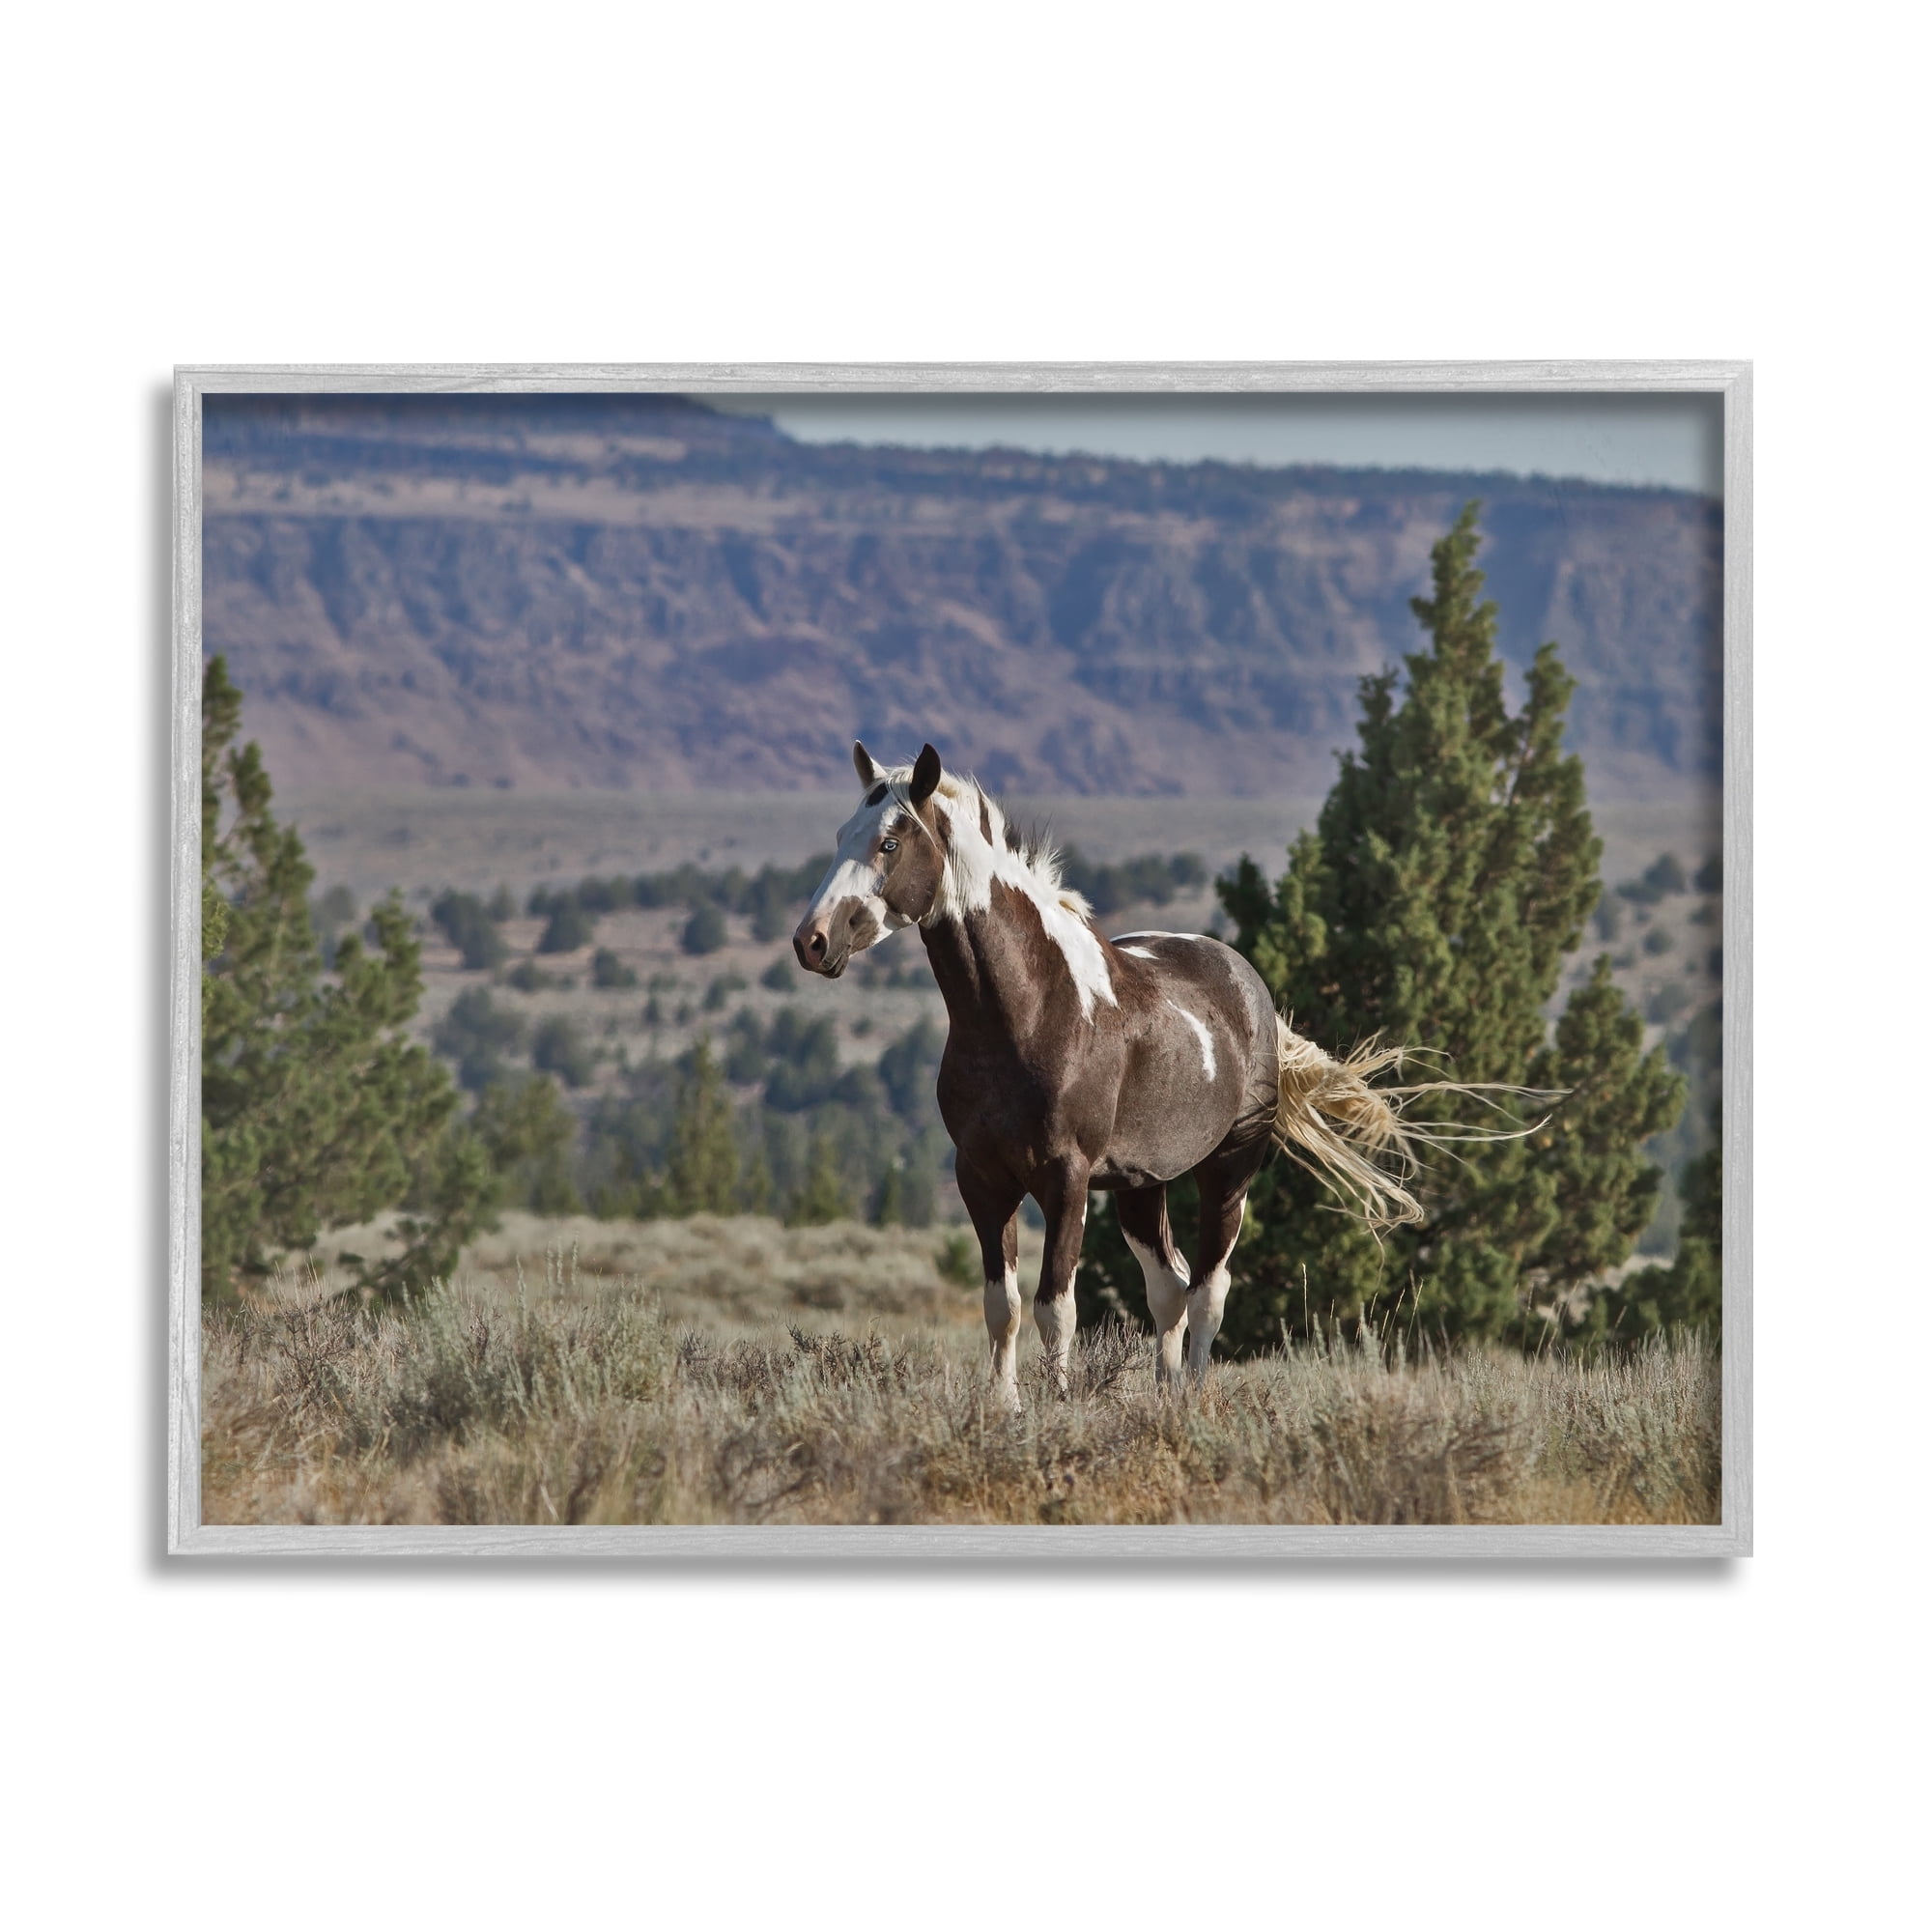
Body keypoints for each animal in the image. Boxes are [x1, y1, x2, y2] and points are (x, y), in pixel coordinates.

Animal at [792, 740, 1452, 1410]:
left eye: (890, 842)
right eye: (843, 834)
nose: (811, 942)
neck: (1030, 1010)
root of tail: (1253, 991)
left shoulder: (1066, 1178)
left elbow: (1055, 1307)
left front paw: (1057, 1404)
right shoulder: (982, 1178)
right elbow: (1002, 1306)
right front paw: (1006, 1406)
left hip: (1229, 1172)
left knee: (1208, 1290)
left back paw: (1191, 1396)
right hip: (1142, 1186)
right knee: (1170, 1287)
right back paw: (1165, 1392)